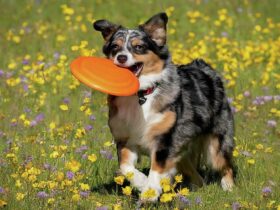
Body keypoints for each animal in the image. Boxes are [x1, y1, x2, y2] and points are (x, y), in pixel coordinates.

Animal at [93, 12, 235, 201]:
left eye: (138, 47)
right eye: (115, 47)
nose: (121, 57)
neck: (140, 96)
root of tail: (204, 67)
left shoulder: (165, 141)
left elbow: (156, 170)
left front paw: (150, 193)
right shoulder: (125, 139)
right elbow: (126, 167)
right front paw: (142, 183)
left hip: (217, 140)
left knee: (224, 163)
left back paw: (228, 187)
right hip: (181, 148)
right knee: (195, 174)